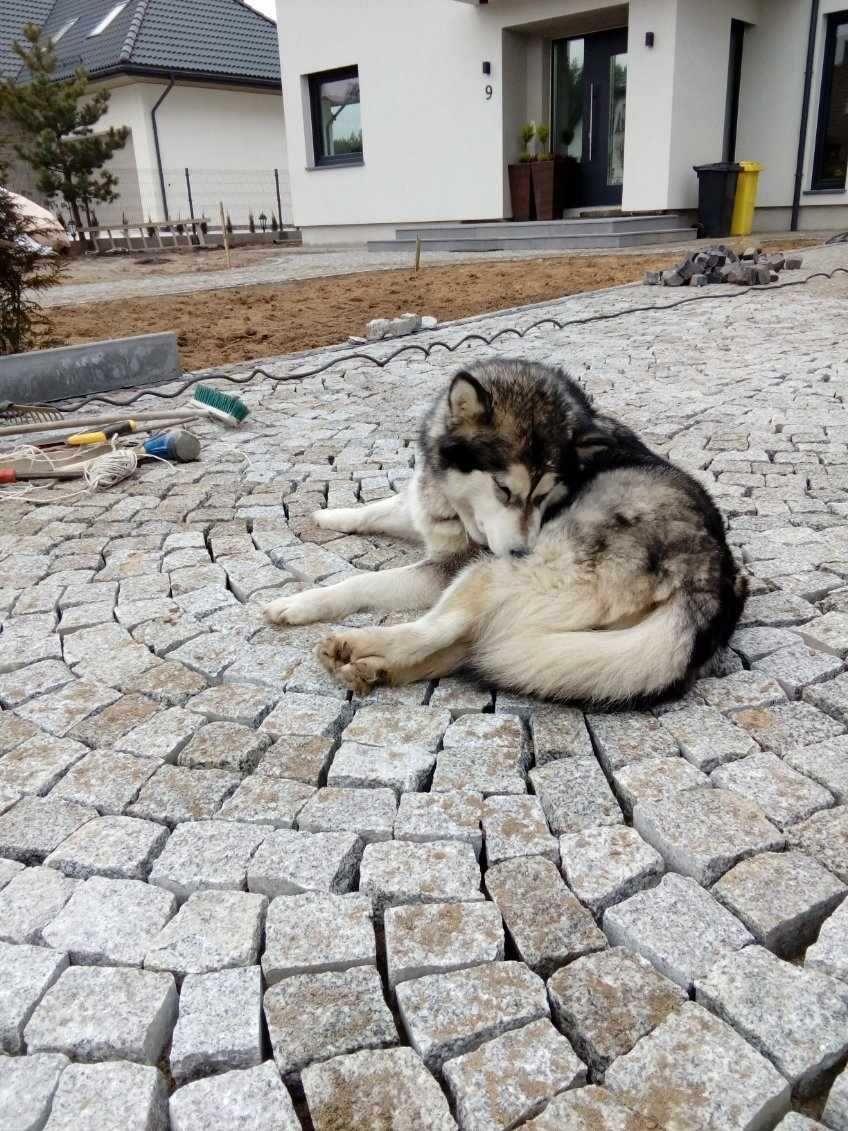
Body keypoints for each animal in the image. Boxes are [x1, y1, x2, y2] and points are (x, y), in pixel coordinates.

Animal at [264, 357, 741, 705]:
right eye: (503, 489)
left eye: (546, 495)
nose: (520, 550)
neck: (457, 504)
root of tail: (710, 582)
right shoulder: (427, 507)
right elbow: (381, 509)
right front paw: (331, 516)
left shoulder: (450, 564)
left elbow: (362, 583)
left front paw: (300, 603)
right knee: (474, 646)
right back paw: (377, 668)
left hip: (485, 575)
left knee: (435, 632)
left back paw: (360, 644)